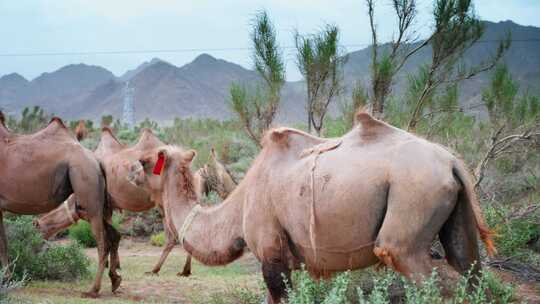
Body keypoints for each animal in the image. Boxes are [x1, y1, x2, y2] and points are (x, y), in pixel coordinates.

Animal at [0, 111, 120, 296]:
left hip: (86, 187)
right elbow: (4, 243)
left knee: (103, 242)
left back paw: (93, 290)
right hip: (96, 201)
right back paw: (115, 281)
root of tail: (96, 160)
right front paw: (7, 279)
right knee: (114, 234)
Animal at [35, 127, 234, 276]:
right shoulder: (109, 206)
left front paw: (109, 265)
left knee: (173, 235)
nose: (37, 246)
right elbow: (112, 234)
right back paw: (184, 270)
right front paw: (114, 265)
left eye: (37, 229)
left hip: (163, 201)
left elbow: (107, 234)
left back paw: (158, 269)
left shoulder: (101, 205)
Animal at [126, 111, 494, 304]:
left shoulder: (271, 252)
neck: (240, 204)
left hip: (409, 214)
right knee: (469, 270)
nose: (128, 171)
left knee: (426, 273)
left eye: (145, 162)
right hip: (455, 216)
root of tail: (452, 162)